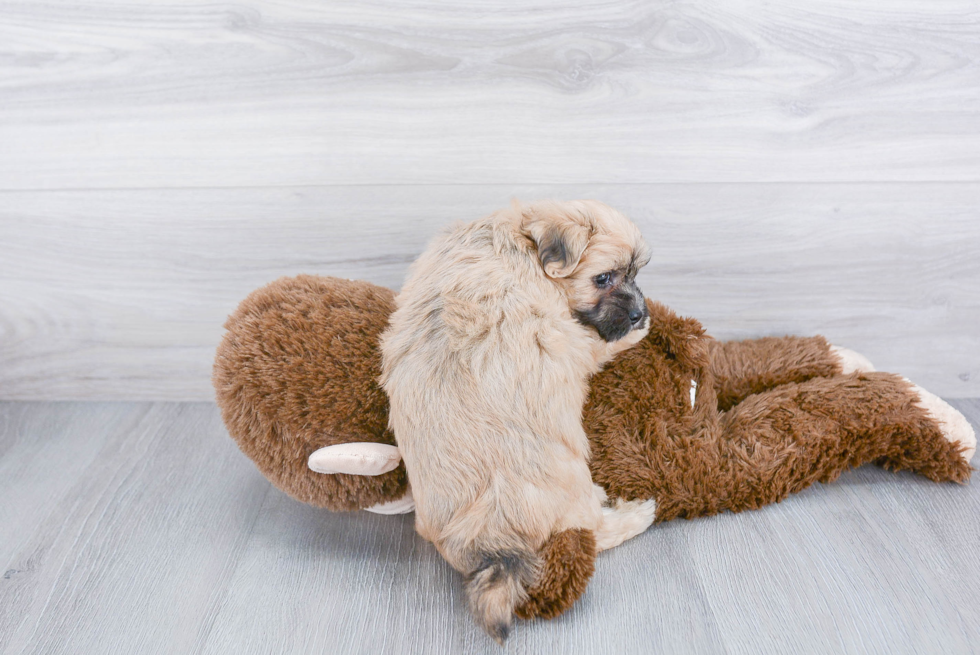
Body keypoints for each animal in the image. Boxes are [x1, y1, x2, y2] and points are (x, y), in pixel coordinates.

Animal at [378, 199, 656, 640]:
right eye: (604, 278)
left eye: (634, 273)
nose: (637, 311)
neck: (518, 241)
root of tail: (483, 541)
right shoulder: (573, 338)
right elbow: (597, 343)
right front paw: (640, 330)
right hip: (570, 477)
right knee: (594, 531)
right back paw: (636, 514)